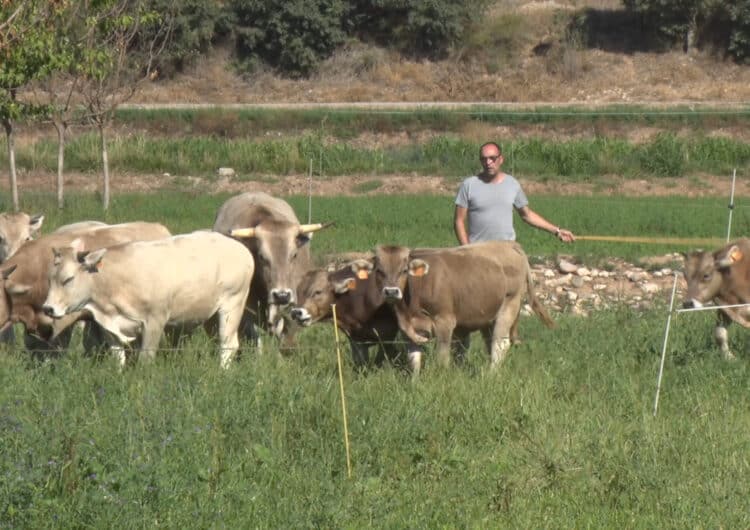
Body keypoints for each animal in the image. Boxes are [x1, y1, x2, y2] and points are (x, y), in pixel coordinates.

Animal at [372, 240, 556, 370]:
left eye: (404, 270)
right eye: (379, 271)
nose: (391, 291)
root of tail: (509, 244)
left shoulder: (444, 322)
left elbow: (442, 358)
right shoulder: (408, 329)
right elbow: (414, 359)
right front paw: (414, 384)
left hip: (509, 305)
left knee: (500, 345)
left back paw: (491, 376)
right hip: (488, 316)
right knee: (490, 344)